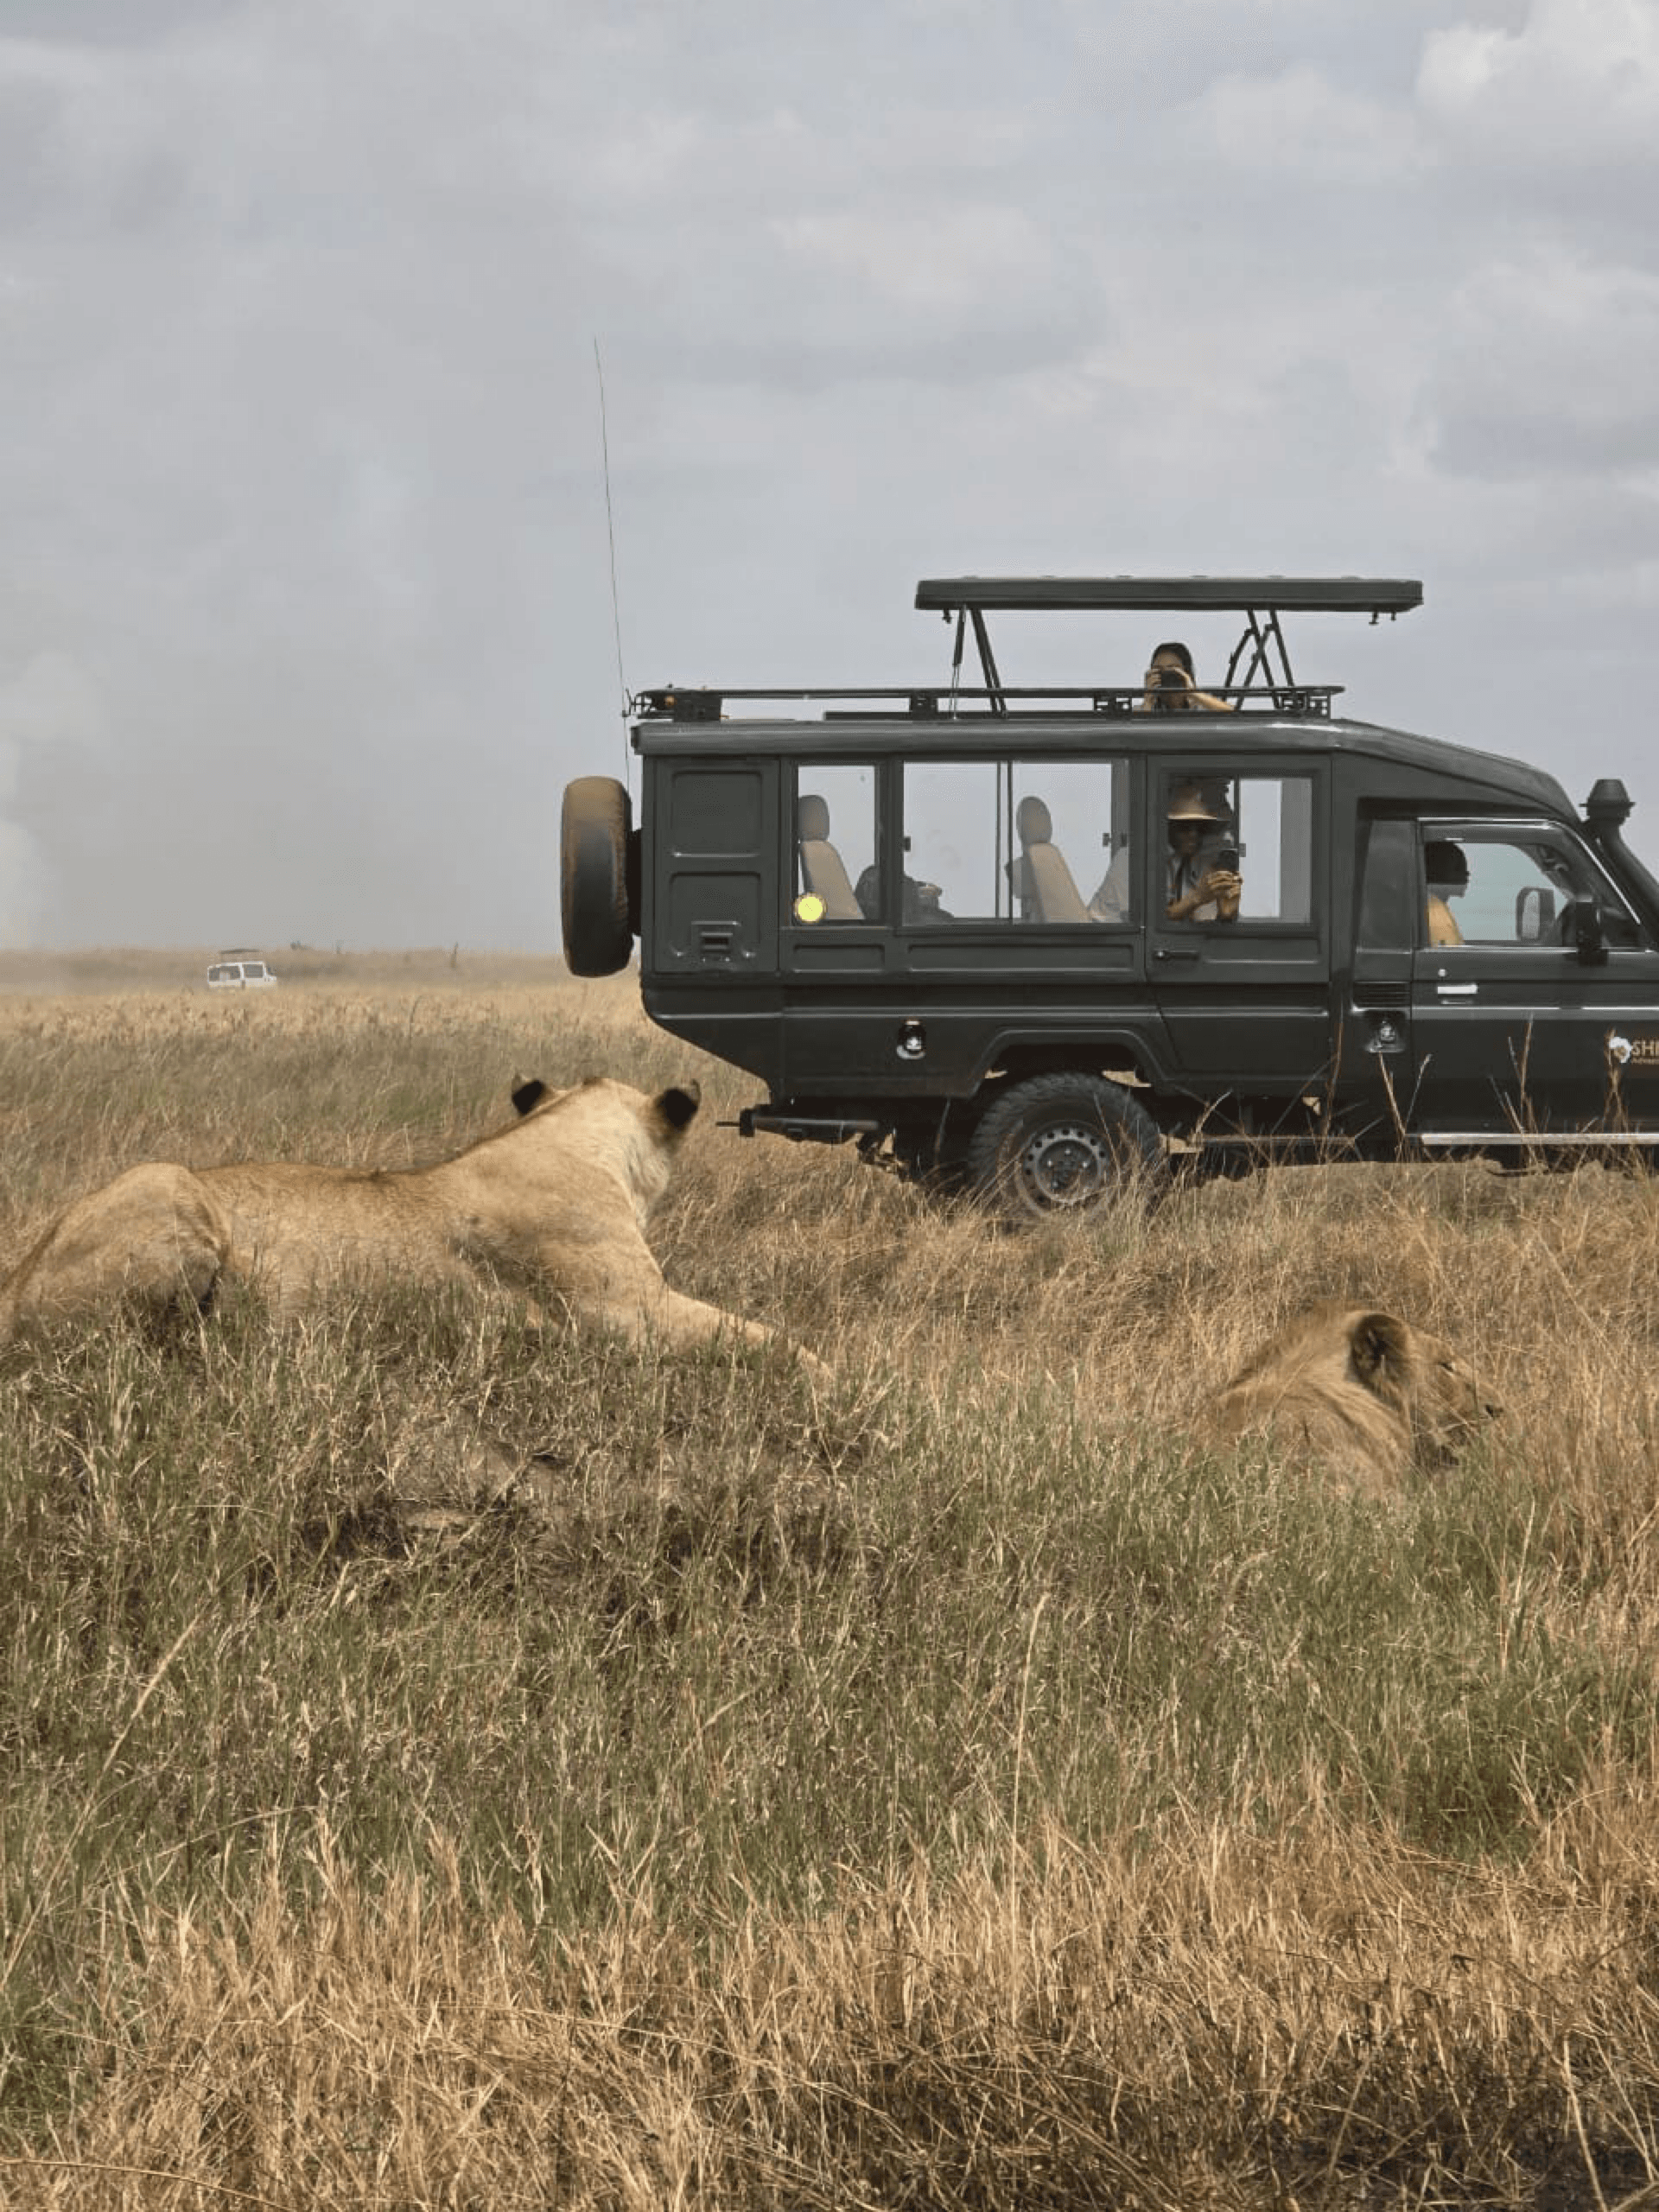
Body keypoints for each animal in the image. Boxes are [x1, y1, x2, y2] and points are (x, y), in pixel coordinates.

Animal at [0, 1075, 820, 1369]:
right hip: (166, 1180)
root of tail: (15, 1285)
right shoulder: (627, 1313)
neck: (570, 1137)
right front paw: (835, 1380)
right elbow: (771, 1338)